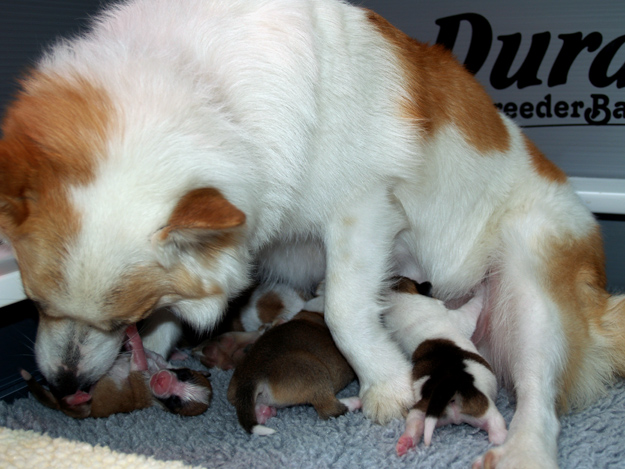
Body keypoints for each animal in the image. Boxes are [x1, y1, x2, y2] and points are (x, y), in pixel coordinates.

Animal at [22, 326, 212, 416]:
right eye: (184, 375)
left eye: (175, 400)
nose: (162, 381)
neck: (153, 372)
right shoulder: (159, 361)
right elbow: (149, 353)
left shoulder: (138, 376)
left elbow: (139, 356)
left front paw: (133, 334)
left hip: (80, 408)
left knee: (68, 403)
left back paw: (78, 397)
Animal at [386, 278, 508, 454]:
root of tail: (447, 386)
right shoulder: (460, 317)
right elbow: (474, 304)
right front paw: (482, 288)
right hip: (485, 410)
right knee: (497, 431)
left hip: (421, 408)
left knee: (415, 425)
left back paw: (405, 442)